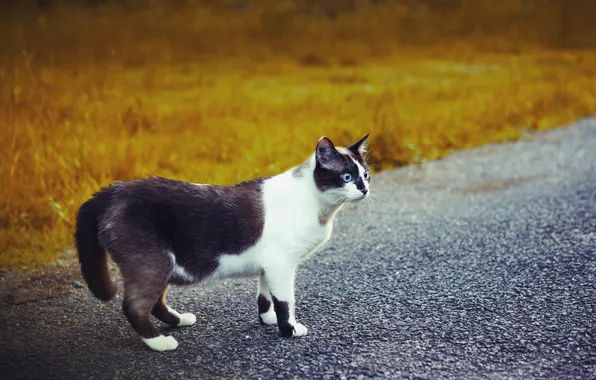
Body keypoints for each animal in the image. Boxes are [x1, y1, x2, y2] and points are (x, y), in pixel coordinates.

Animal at [75, 134, 372, 354]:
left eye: (366, 174)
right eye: (347, 177)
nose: (364, 189)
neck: (320, 208)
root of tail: (111, 191)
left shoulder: (270, 267)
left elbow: (266, 297)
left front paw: (268, 320)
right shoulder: (282, 265)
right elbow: (286, 301)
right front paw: (289, 329)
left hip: (164, 266)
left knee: (155, 302)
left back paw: (180, 320)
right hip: (153, 263)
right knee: (135, 306)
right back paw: (160, 342)